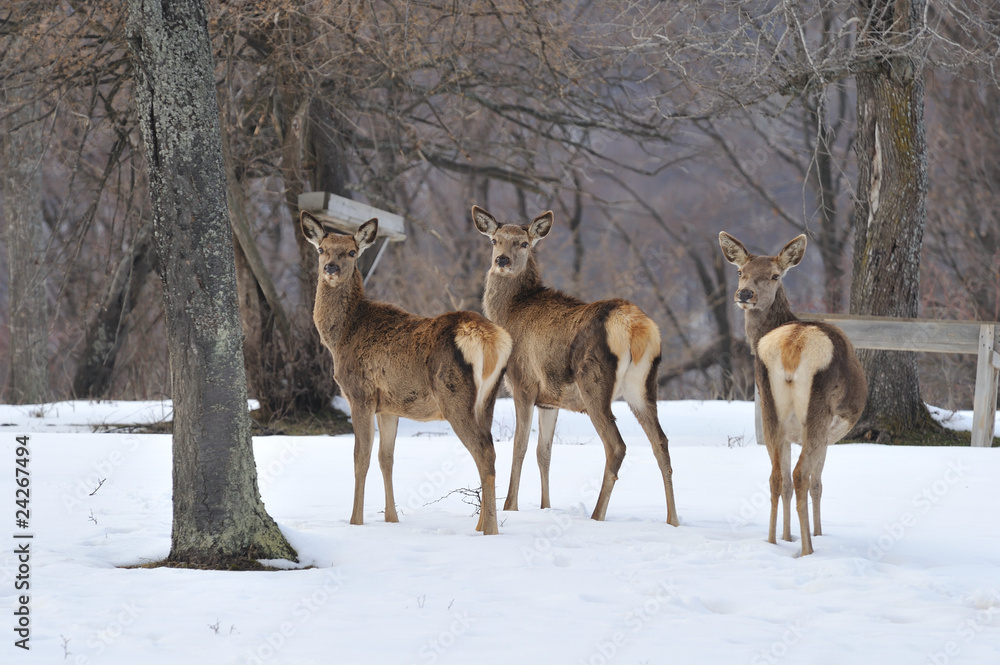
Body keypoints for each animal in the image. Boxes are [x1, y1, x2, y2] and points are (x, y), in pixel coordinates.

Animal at [301, 211, 512, 535]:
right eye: (322, 249)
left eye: (351, 252)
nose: (331, 268)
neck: (340, 336)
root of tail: (492, 339)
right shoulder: (389, 406)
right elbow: (385, 458)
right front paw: (391, 519)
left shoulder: (360, 394)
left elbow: (360, 458)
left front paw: (355, 522)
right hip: (488, 398)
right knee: (488, 449)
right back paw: (481, 525)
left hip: (454, 395)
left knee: (485, 453)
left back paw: (490, 530)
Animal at [472, 206, 679, 526]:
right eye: (495, 240)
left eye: (524, 243)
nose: (502, 261)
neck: (509, 312)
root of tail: (636, 328)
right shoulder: (549, 400)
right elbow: (543, 451)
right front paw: (545, 507)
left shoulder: (523, 383)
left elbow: (519, 447)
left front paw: (510, 506)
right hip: (643, 386)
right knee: (661, 443)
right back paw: (673, 520)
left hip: (593, 381)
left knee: (616, 446)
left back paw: (596, 515)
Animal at [718, 231, 867, 556]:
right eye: (740, 272)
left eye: (774, 275)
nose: (745, 294)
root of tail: (792, 345)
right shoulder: (827, 436)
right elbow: (816, 484)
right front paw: (816, 534)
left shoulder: (787, 432)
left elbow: (784, 481)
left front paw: (787, 537)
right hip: (817, 408)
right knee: (800, 476)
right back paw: (808, 549)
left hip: (768, 403)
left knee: (776, 476)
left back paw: (771, 542)